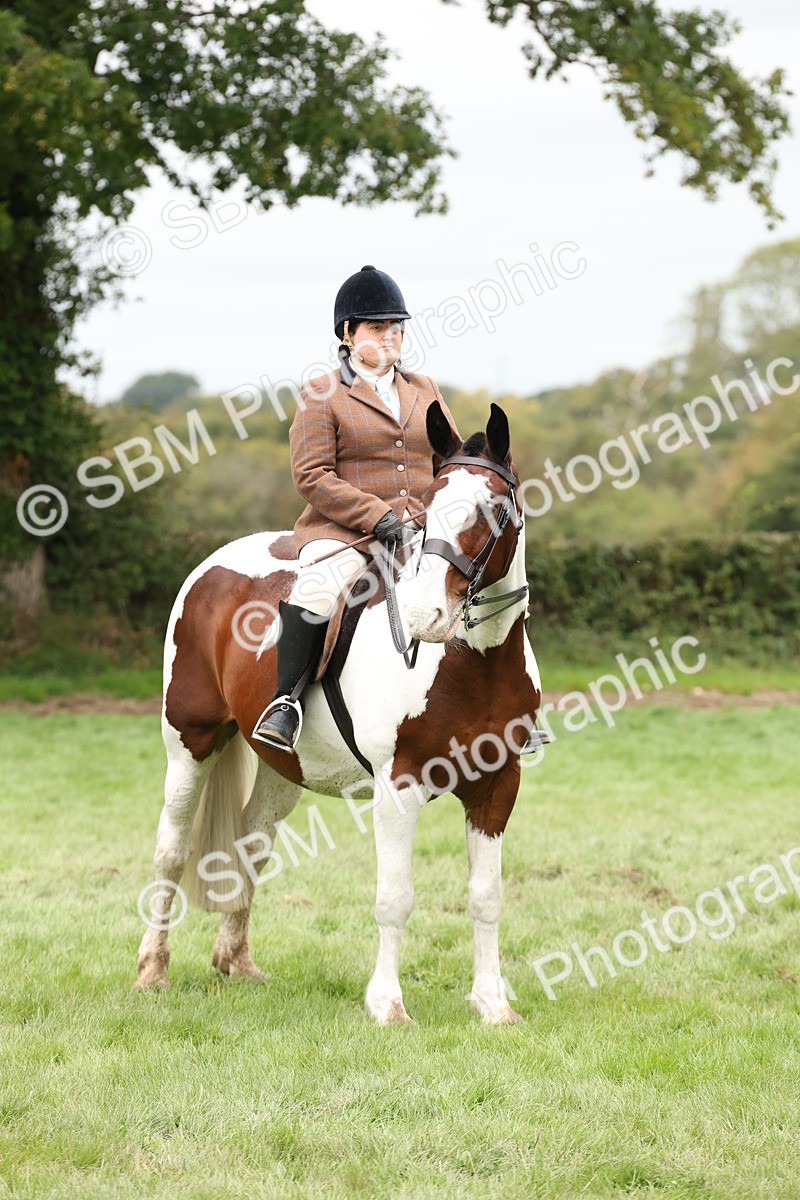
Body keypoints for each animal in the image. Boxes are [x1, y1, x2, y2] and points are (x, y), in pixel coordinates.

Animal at [136, 400, 545, 1024]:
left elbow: (487, 896)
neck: (472, 662)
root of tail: (211, 567)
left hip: (285, 765)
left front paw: (493, 1005)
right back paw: (152, 970)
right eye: (427, 505)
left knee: (252, 840)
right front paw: (387, 1006)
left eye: (494, 509)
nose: (425, 616)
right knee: (171, 850)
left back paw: (237, 963)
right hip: (190, 744)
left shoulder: (498, 785)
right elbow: (395, 897)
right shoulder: (399, 788)